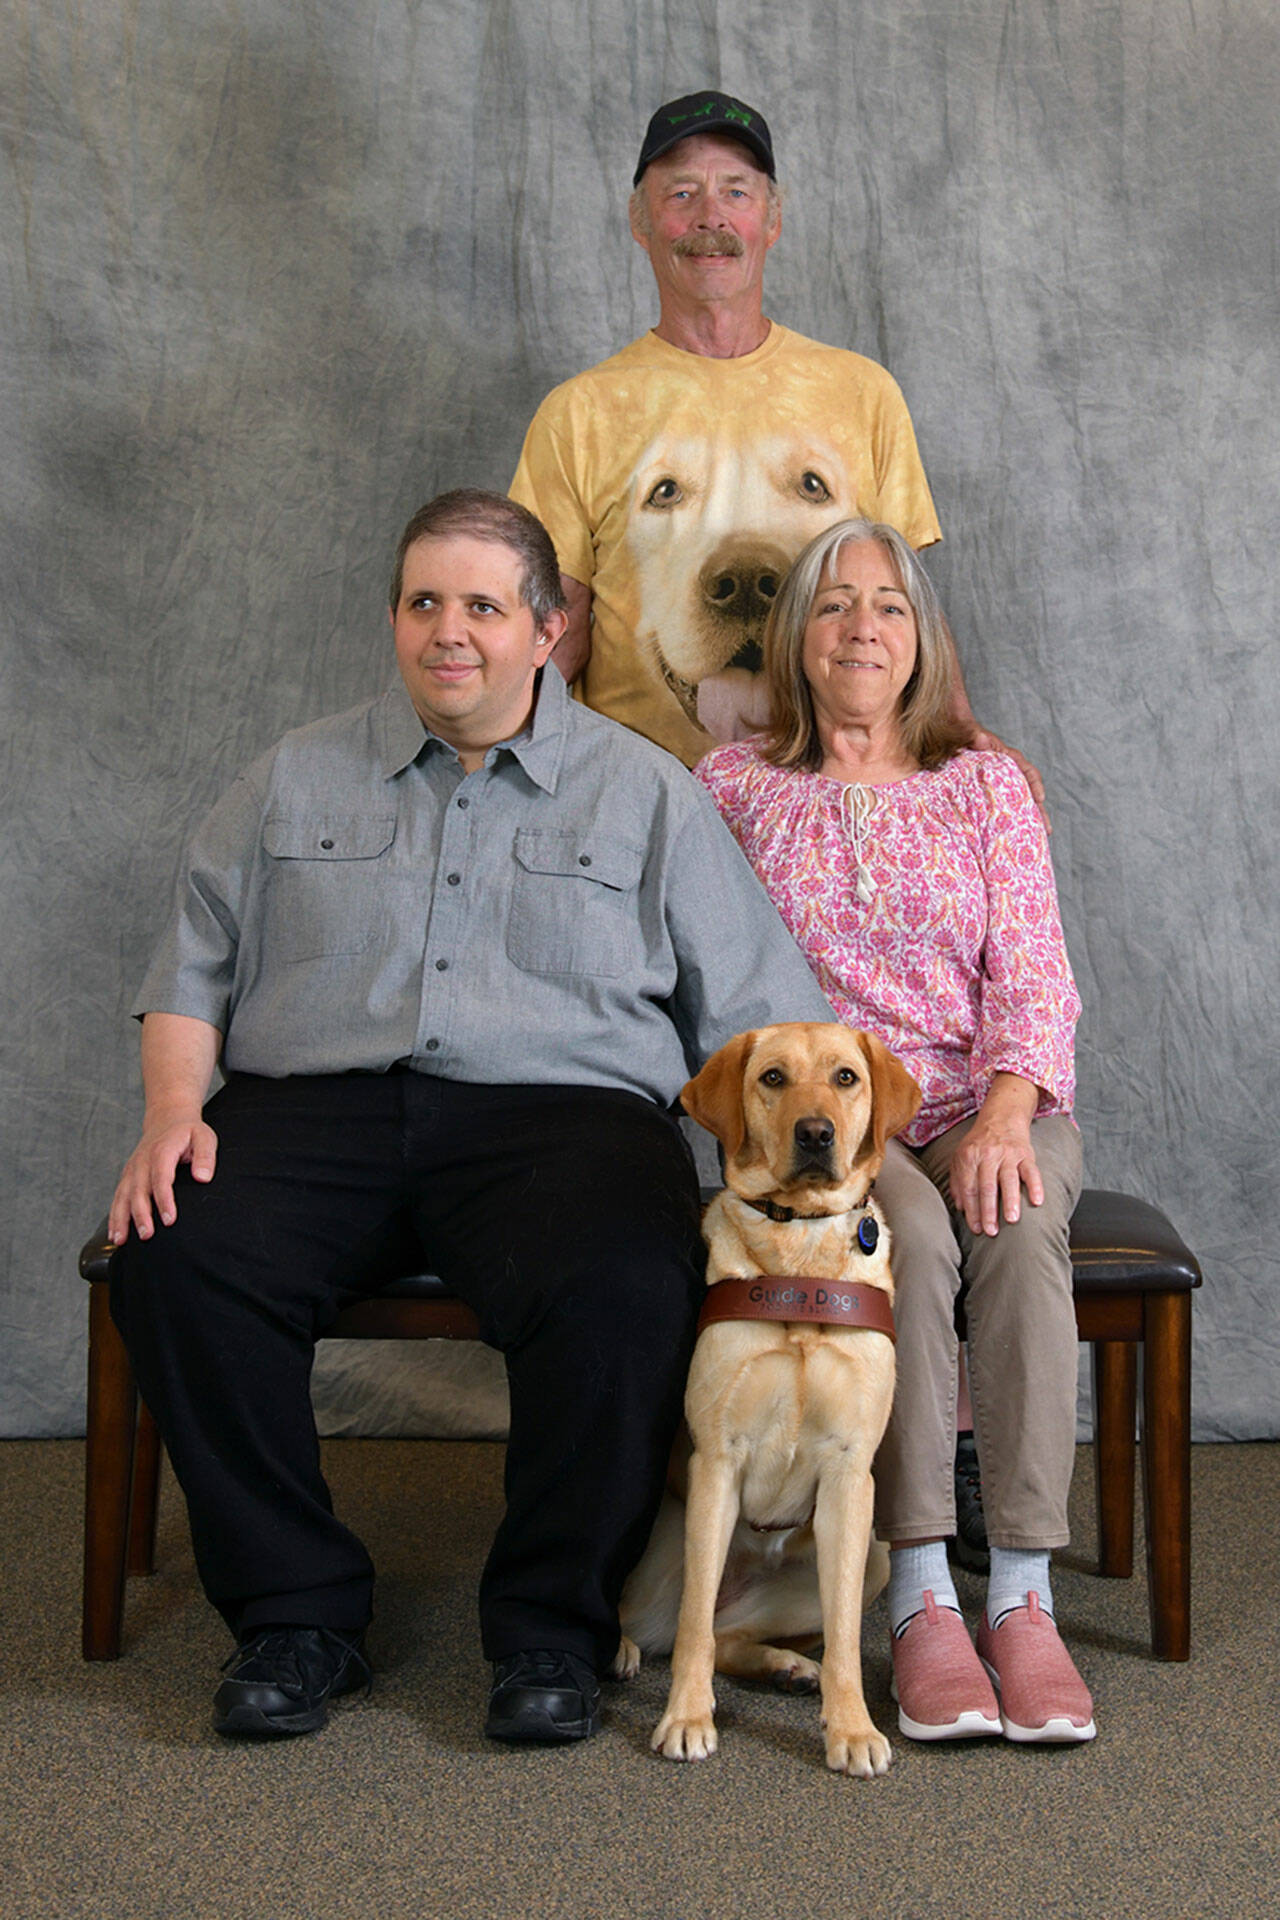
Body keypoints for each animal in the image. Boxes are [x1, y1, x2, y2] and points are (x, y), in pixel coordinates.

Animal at [621, 1029, 921, 1774]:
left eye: (845, 1077)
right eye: (773, 1078)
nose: (815, 1134)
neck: (799, 1250)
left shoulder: (850, 1473)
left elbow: (843, 1636)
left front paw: (851, 1728)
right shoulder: (716, 1463)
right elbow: (694, 1628)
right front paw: (686, 1718)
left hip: (872, 1556)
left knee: (730, 1634)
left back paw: (788, 1667)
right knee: (671, 1622)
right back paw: (622, 1646)